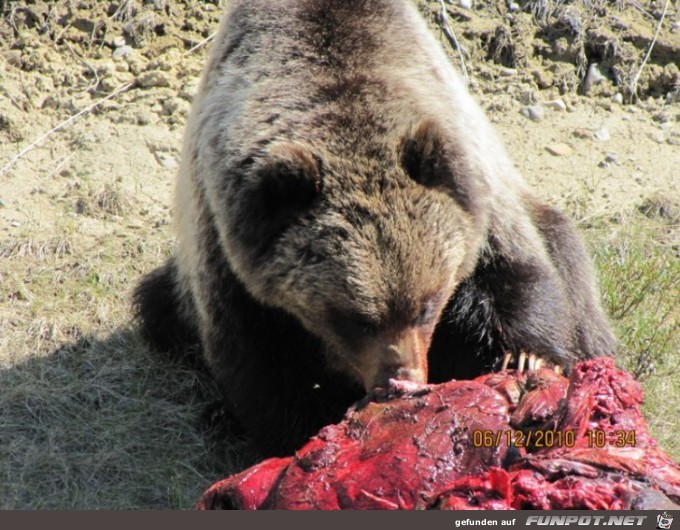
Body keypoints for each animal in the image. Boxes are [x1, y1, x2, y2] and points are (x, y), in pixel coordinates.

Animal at [134, 0, 616, 454]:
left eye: (427, 304)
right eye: (352, 318)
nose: (400, 381)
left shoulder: (476, 193)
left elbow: (517, 279)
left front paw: (524, 360)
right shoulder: (225, 248)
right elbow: (260, 362)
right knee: (157, 307)